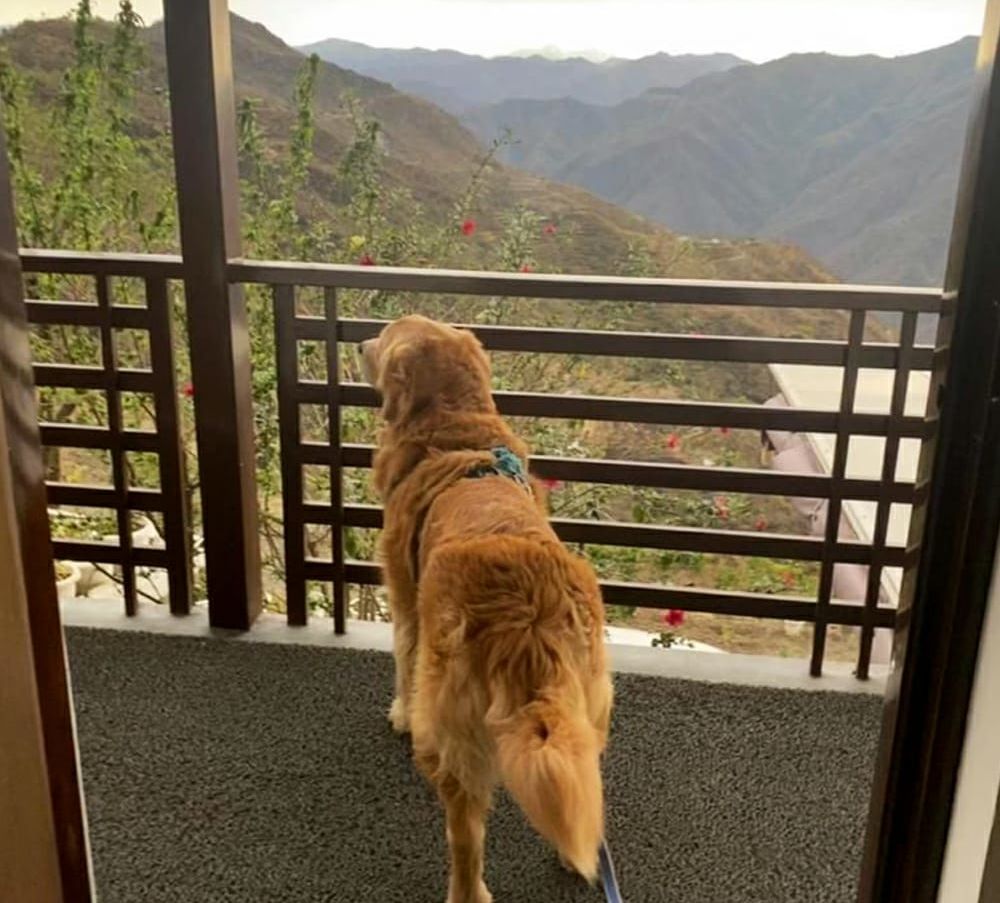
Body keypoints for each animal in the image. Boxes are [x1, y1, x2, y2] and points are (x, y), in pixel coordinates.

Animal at [360, 314, 608, 900]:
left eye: (384, 336)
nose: (358, 343)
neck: (453, 428)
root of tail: (530, 618)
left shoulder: (406, 597)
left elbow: (402, 659)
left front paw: (399, 713)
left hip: (454, 729)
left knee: (465, 836)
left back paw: (466, 890)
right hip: (587, 705)